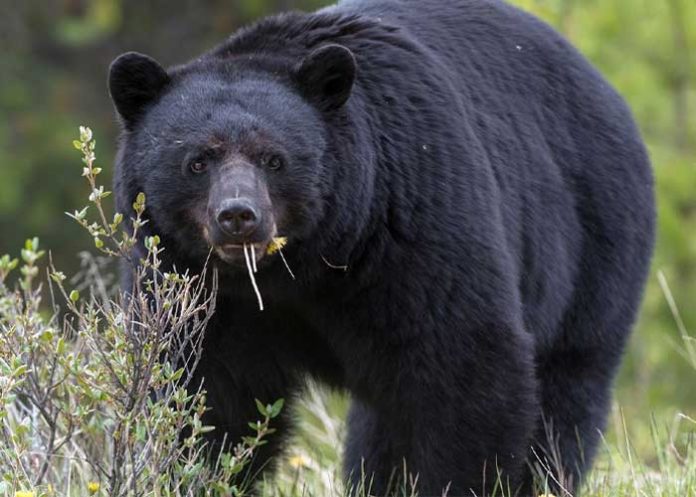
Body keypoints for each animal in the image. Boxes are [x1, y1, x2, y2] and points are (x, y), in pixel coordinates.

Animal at [108, 0, 655, 495]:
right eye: (198, 160)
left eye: (273, 158)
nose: (238, 216)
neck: (300, 265)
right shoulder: (195, 285)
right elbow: (203, 390)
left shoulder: (412, 224)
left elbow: (464, 367)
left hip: (592, 242)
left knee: (567, 391)